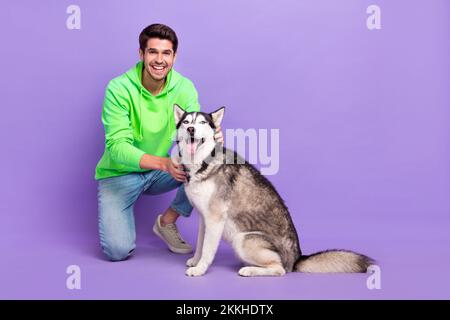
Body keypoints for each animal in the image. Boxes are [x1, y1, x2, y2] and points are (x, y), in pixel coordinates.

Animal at [174, 105, 374, 278]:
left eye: (202, 122)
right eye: (186, 122)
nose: (191, 129)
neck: (202, 163)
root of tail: (297, 258)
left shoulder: (215, 219)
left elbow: (208, 250)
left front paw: (200, 269)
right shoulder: (205, 218)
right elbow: (200, 244)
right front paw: (195, 261)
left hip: (243, 239)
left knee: (279, 269)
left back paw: (250, 270)